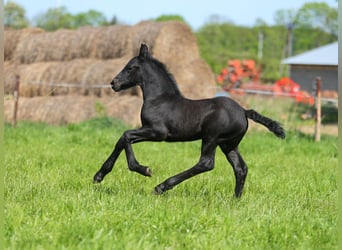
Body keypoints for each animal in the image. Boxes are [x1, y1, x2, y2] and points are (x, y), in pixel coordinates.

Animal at [92, 44, 284, 197]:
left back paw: (161, 187)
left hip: (211, 138)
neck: (159, 99)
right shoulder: (147, 130)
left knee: (206, 163)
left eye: (130, 67)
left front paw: (143, 169)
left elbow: (126, 135)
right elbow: (122, 140)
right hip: (228, 144)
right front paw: (98, 176)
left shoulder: (158, 132)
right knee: (240, 168)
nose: (113, 83)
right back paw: (235, 199)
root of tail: (244, 111)